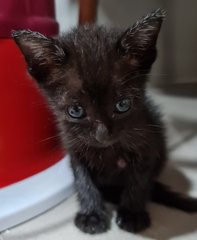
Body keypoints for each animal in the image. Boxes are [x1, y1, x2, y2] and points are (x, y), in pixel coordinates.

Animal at [12, 9, 197, 234]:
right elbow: (83, 181)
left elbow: (139, 181)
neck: (108, 150)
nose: (102, 134)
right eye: (75, 111)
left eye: (122, 105)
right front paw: (91, 214)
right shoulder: (75, 150)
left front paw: (132, 213)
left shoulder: (147, 146)